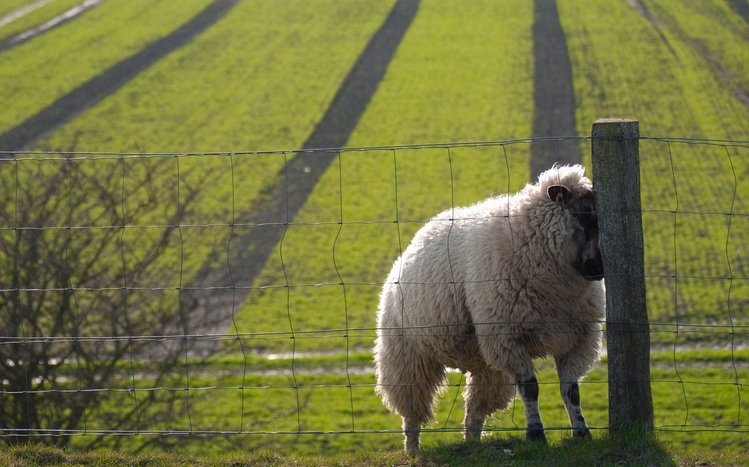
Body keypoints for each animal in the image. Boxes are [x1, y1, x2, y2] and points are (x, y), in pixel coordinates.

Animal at [373, 164, 605, 455]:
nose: (600, 269)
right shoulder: (508, 338)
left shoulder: (579, 339)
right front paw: (536, 435)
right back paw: (413, 449)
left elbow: (571, 390)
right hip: (407, 356)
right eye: (584, 215)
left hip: (485, 363)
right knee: (412, 410)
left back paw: (472, 442)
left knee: (475, 410)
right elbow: (530, 388)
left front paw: (582, 432)